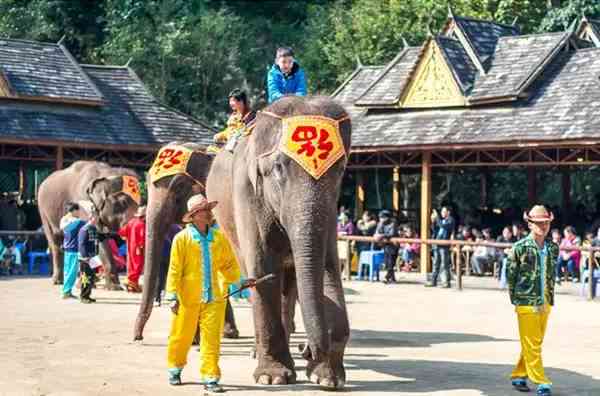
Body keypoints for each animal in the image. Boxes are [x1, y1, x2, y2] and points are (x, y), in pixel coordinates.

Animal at [37, 161, 141, 290]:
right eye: (123, 202)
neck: (105, 173)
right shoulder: (83, 204)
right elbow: (97, 237)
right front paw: (114, 287)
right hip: (43, 212)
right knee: (54, 241)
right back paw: (58, 281)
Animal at [206, 96, 350, 390]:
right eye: (279, 168)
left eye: (341, 169)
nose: (307, 350)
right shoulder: (247, 193)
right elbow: (263, 268)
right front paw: (273, 378)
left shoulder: (331, 211)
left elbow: (329, 268)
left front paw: (327, 378)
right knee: (254, 274)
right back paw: (258, 352)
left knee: (289, 285)